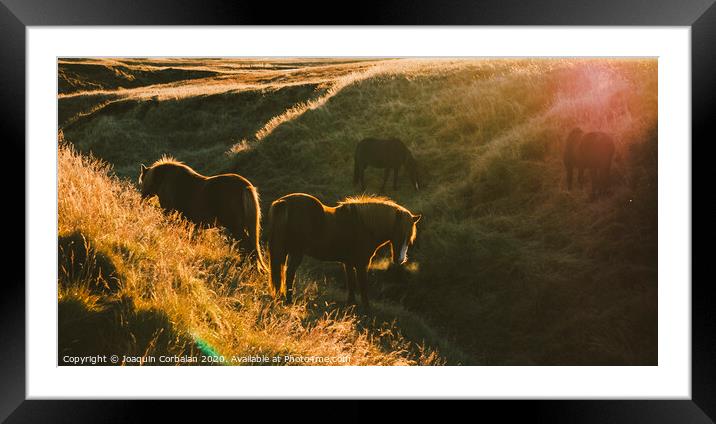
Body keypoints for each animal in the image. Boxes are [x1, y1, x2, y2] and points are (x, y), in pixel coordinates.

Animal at [138, 157, 266, 270]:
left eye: (142, 181)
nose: (141, 201)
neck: (165, 179)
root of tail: (245, 186)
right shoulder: (188, 223)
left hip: (235, 228)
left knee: (248, 247)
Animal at [266, 194, 422, 306]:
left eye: (409, 237)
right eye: (399, 233)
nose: (400, 260)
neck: (363, 226)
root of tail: (283, 202)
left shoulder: (348, 263)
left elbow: (351, 283)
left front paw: (351, 304)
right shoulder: (362, 264)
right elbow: (362, 286)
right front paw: (366, 308)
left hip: (284, 251)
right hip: (296, 252)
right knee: (290, 273)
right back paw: (289, 300)